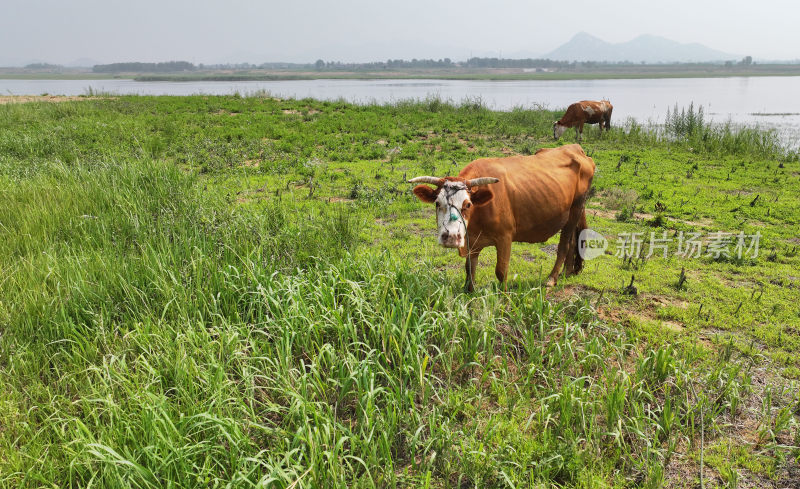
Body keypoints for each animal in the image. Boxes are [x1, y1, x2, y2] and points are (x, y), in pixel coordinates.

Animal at [412, 144, 592, 290]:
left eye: (468, 205)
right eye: (437, 203)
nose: (450, 237)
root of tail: (576, 148)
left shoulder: (505, 237)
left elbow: (501, 271)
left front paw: (504, 296)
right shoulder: (471, 241)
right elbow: (470, 269)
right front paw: (469, 292)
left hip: (575, 208)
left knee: (564, 244)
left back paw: (552, 278)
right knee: (572, 241)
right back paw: (566, 273)